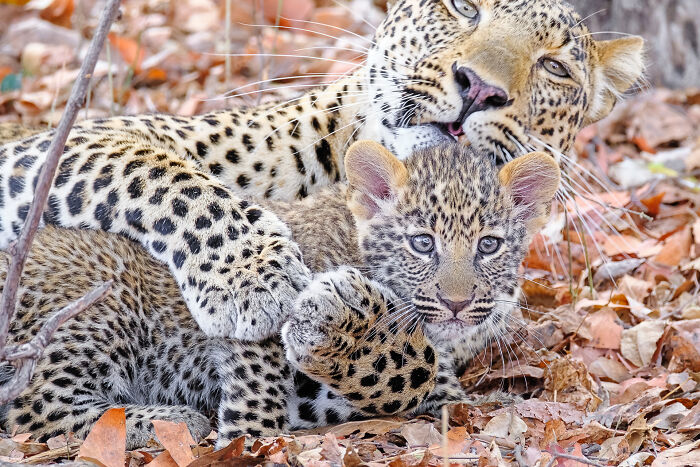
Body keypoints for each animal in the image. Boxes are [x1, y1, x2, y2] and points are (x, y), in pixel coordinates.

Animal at [0, 0, 644, 346]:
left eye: (554, 67)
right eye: (464, 6)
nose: (479, 88)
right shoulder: (52, 148)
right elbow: (163, 177)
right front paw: (252, 277)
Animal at [0, 141, 560, 448]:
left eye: (489, 245)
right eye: (422, 243)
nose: (457, 304)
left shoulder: (442, 382)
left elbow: (419, 380)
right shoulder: (253, 303)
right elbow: (262, 364)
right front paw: (248, 435)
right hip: (97, 309)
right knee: (34, 409)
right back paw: (175, 419)